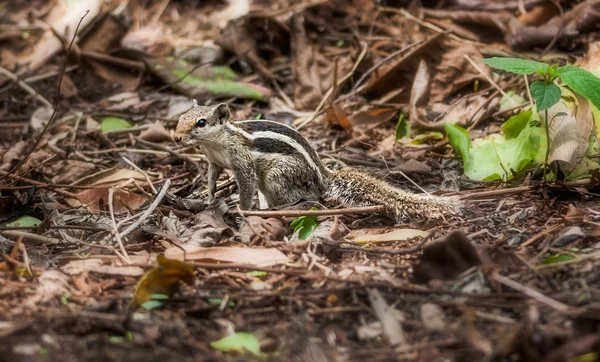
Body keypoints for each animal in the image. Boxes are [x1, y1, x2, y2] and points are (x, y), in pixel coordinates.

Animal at [171, 100, 462, 222]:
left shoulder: (242, 163)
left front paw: (241, 209)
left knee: (303, 198)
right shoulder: (214, 162)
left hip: (277, 177)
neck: (216, 143)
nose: (176, 137)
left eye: (201, 122)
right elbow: (211, 176)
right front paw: (209, 195)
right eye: (181, 117)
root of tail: (324, 178)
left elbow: (245, 184)